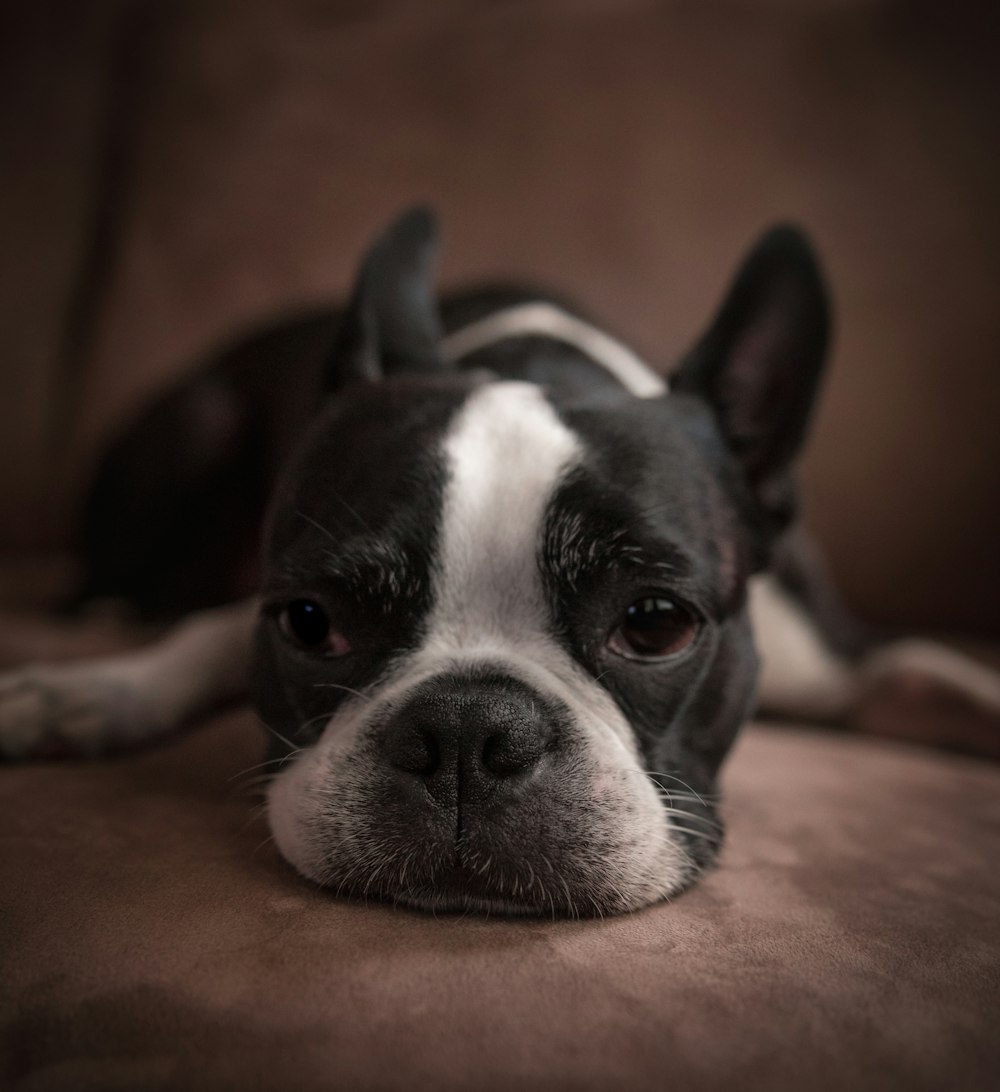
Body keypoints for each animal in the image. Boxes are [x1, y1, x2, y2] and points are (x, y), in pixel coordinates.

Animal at [1, 206, 1000, 912]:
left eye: (656, 623)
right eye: (311, 624)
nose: (466, 731)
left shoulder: (839, 660)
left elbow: (939, 674)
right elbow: (204, 639)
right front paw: (87, 694)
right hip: (194, 428)